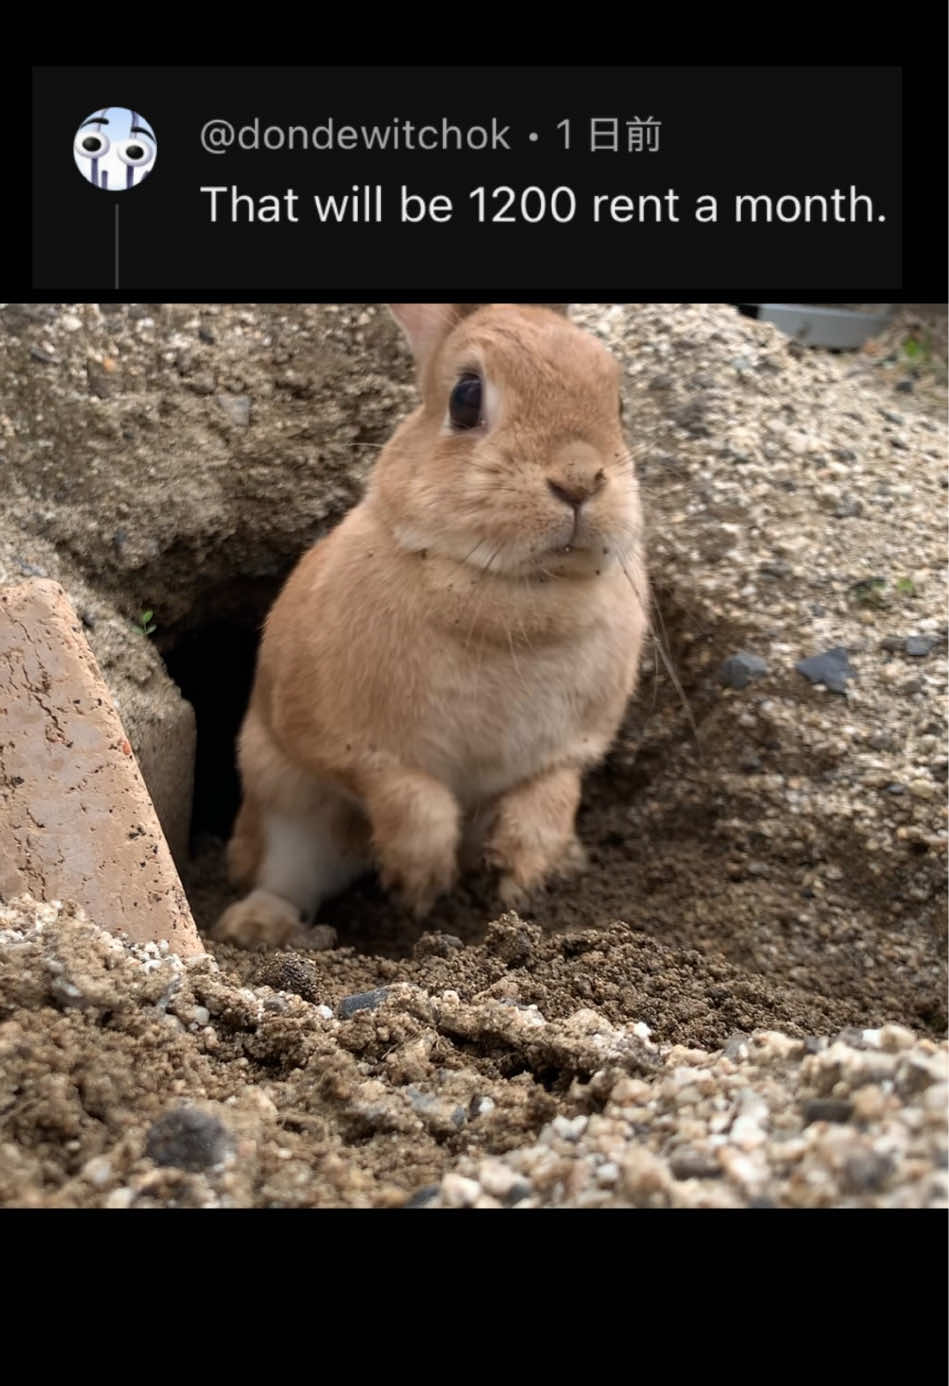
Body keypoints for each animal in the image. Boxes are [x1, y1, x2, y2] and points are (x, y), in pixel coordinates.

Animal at [211, 303, 648, 950]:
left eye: (618, 402)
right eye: (466, 397)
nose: (578, 479)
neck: (514, 585)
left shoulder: (570, 750)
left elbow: (551, 793)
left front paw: (523, 876)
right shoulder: (343, 741)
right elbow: (408, 791)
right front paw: (420, 883)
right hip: (283, 806)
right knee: (285, 873)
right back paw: (256, 927)